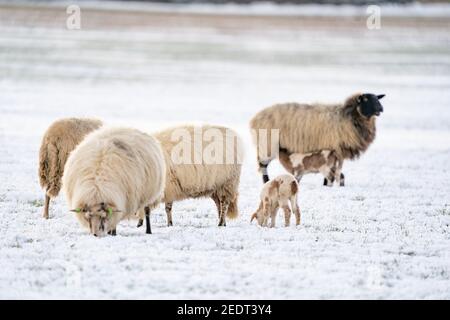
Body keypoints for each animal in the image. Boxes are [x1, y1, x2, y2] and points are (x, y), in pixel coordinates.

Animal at [248, 92, 384, 184]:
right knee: (263, 166)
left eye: (377, 98)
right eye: (365, 99)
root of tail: (256, 117)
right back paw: (266, 181)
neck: (349, 117)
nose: (381, 108)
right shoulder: (333, 150)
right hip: (267, 144)